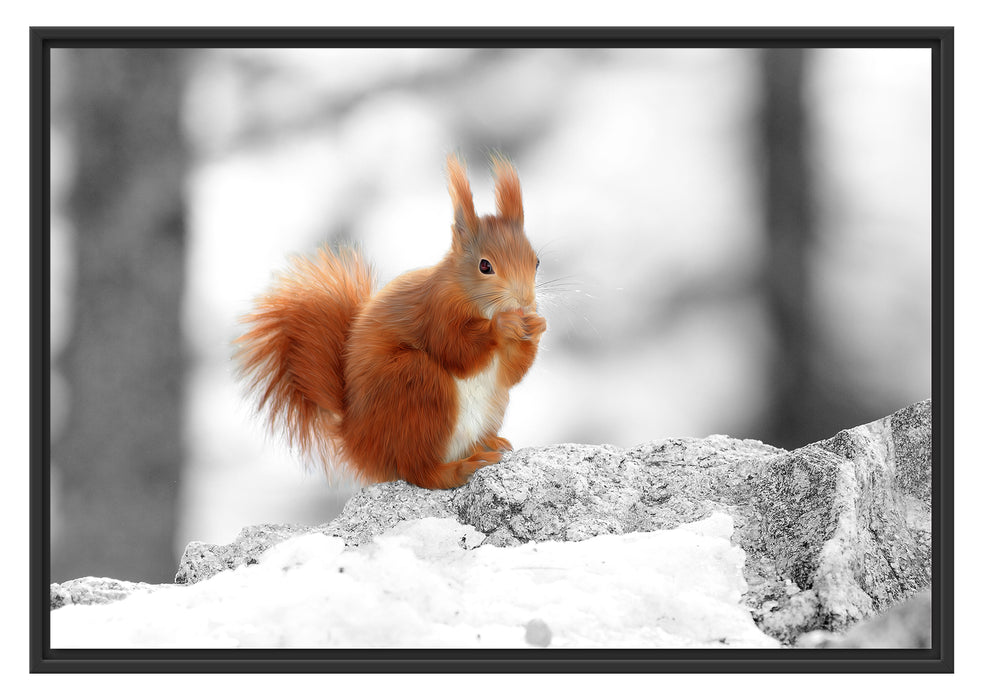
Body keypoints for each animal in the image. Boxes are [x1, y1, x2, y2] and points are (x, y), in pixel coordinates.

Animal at [235, 154, 546, 489]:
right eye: (485, 266)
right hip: (415, 386)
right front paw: (502, 326)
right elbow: (456, 351)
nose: (525, 301)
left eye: (536, 262)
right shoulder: (436, 311)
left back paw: (487, 444)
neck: (473, 300)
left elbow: (511, 373)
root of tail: (357, 442)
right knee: (419, 471)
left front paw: (537, 327)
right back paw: (460, 468)